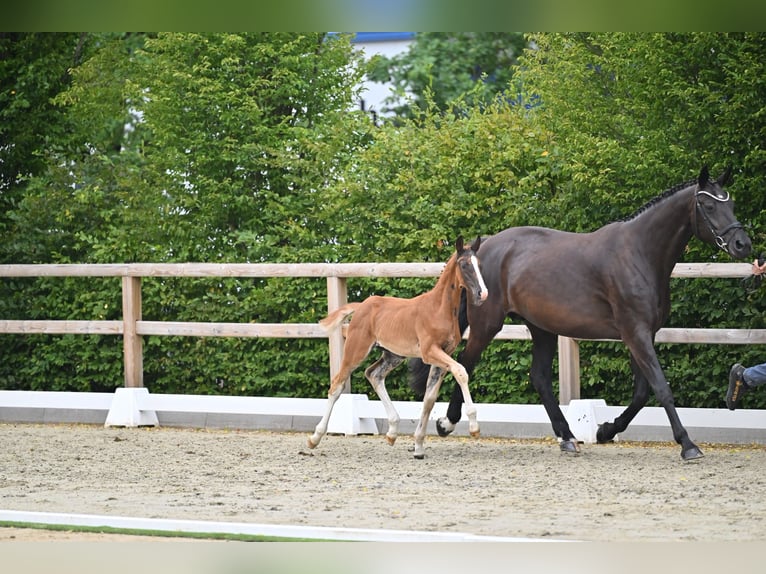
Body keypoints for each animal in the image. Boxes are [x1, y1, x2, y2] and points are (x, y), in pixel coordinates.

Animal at [308, 236, 488, 459]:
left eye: (479, 264)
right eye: (464, 265)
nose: (483, 294)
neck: (439, 309)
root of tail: (361, 306)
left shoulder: (443, 354)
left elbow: (429, 399)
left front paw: (418, 447)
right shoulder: (430, 352)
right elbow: (461, 371)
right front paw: (474, 427)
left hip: (392, 355)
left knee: (373, 374)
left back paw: (392, 432)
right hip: (356, 350)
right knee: (337, 385)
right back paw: (314, 438)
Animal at [409, 166, 752, 461]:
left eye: (732, 202)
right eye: (707, 206)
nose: (742, 244)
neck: (639, 253)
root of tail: (481, 249)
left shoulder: (643, 334)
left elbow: (642, 392)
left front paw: (605, 431)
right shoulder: (636, 333)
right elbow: (661, 388)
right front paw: (688, 444)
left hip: (541, 328)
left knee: (539, 377)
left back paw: (567, 437)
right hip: (487, 324)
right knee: (466, 363)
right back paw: (447, 423)